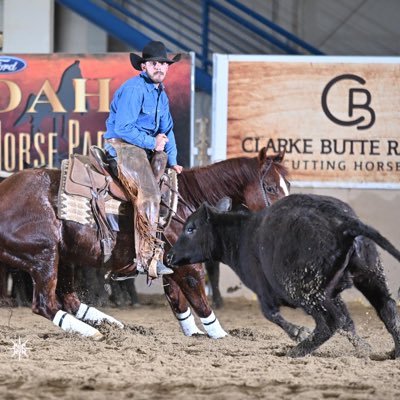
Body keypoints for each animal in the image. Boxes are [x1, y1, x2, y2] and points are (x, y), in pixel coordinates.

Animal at [0, 147, 290, 338]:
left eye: (287, 183)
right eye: (270, 187)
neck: (187, 202)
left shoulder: (169, 267)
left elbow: (179, 303)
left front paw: (193, 333)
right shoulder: (188, 268)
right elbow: (199, 301)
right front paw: (221, 336)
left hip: (64, 258)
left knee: (68, 300)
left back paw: (109, 324)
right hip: (45, 256)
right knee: (46, 304)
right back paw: (93, 332)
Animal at [167, 195, 400, 360]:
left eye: (190, 229)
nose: (169, 256)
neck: (242, 234)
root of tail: (344, 223)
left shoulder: (263, 290)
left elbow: (271, 314)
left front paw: (299, 332)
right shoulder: (333, 294)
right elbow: (349, 323)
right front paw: (364, 348)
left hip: (304, 290)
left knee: (330, 321)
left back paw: (297, 351)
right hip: (369, 275)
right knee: (386, 308)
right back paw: (395, 352)